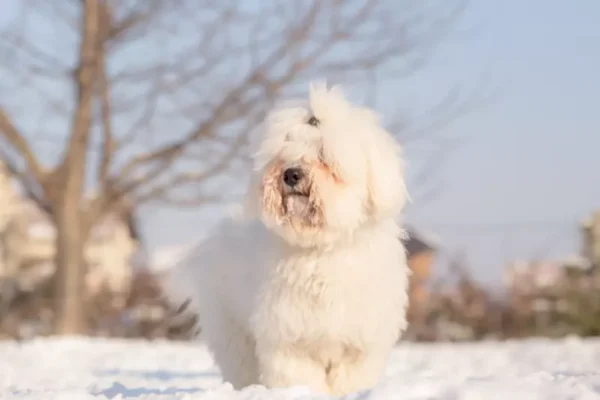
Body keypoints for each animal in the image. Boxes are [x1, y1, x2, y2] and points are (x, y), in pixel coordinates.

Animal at [169, 83, 412, 396]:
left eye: (323, 154)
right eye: (283, 152)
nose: (291, 174)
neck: (321, 250)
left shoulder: (358, 343)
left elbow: (351, 379)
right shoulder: (289, 339)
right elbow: (299, 377)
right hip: (232, 332)